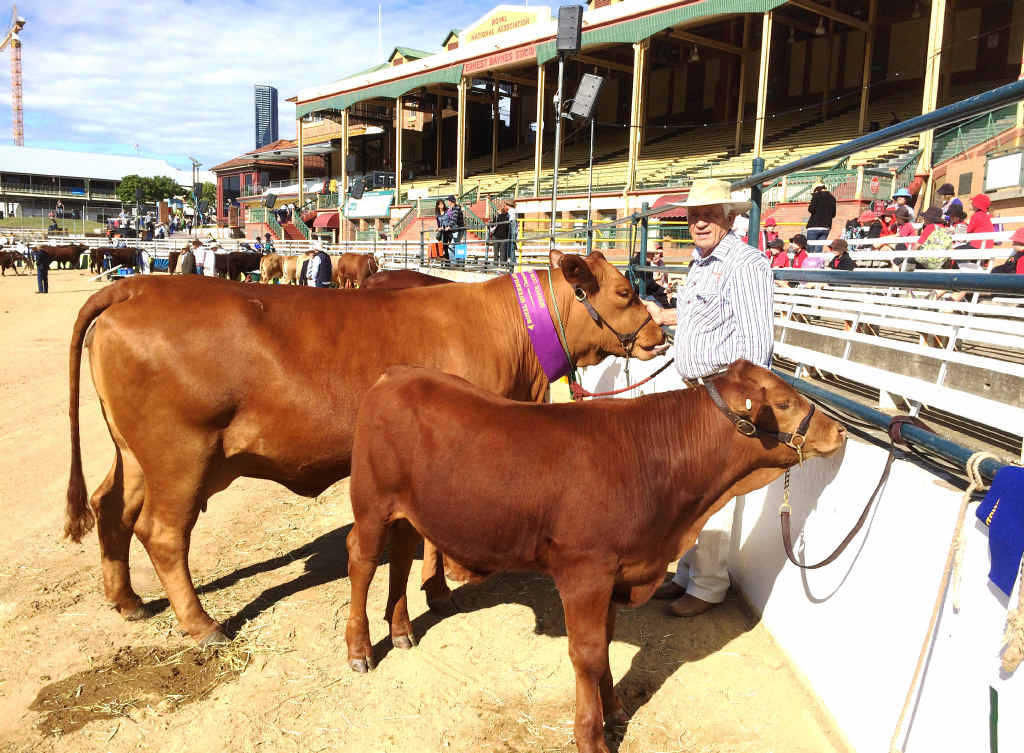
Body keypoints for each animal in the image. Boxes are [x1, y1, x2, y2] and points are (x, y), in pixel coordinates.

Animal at [64, 251, 665, 644]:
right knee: (163, 534)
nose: (660, 335)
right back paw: (202, 624)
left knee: (111, 508)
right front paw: (441, 586)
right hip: (180, 455)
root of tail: (139, 286)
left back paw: (127, 601)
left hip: (136, 455)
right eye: (626, 292)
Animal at [345, 361, 846, 753]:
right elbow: (586, 654)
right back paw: (360, 649)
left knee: (401, 555)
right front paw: (591, 736)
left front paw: (616, 709)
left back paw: (402, 629)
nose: (839, 430)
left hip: (408, 511)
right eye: (783, 403)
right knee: (362, 561)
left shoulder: (618, 574)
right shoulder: (585, 572)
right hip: (371, 502)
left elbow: (604, 646)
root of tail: (396, 374)